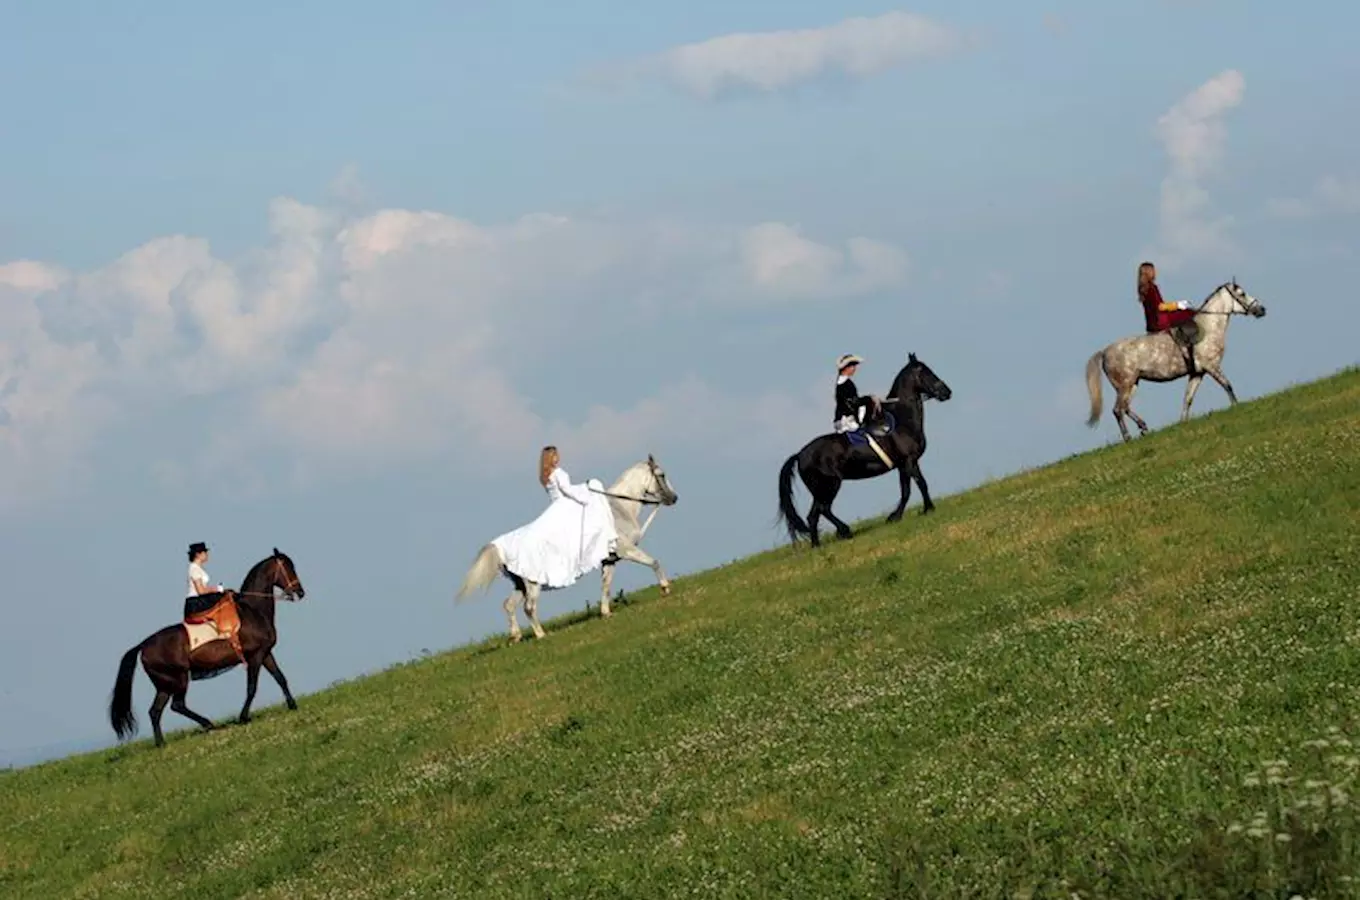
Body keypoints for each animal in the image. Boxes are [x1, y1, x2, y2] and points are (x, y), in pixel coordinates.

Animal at [108, 549, 306, 745]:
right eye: (288, 567)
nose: (300, 592)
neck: (253, 611)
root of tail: (143, 645)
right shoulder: (255, 657)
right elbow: (252, 688)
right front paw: (243, 717)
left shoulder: (265, 654)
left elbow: (280, 678)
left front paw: (292, 705)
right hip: (178, 678)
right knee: (177, 705)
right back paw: (208, 724)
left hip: (164, 684)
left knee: (155, 711)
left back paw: (162, 743)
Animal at [456, 459, 680, 641]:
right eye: (661, 475)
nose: (674, 498)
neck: (618, 509)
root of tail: (500, 547)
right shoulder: (626, 551)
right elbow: (654, 562)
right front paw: (665, 588)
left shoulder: (610, 560)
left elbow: (606, 586)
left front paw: (606, 612)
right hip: (532, 584)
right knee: (529, 607)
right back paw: (541, 635)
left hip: (521, 583)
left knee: (509, 605)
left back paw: (516, 637)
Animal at [777, 353, 957, 549]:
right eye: (925, 372)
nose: (947, 392)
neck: (902, 421)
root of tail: (800, 455)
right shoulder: (909, 461)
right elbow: (919, 484)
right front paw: (924, 510)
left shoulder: (904, 465)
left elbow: (907, 490)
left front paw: (899, 516)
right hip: (829, 485)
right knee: (822, 510)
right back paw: (844, 531)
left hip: (820, 489)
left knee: (814, 515)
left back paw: (818, 545)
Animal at [1082, 278, 1262, 440]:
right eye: (1242, 293)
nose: (1261, 309)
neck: (1208, 327)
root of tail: (1104, 351)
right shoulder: (1212, 366)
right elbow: (1227, 385)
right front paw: (1236, 407)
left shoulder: (1198, 373)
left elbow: (1188, 398)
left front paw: (1183, 422)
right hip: (1125, 384)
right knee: (1118, 410)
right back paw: (1128, 437)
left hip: (1131, 383)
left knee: (1125, 407)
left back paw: (1143, 426)